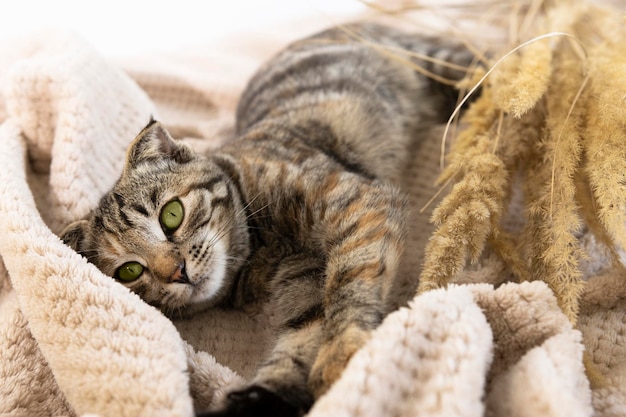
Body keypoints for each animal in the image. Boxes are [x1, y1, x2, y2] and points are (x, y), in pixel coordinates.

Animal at [62, 22, 472, 416]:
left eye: (171, 215)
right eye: (130, 271)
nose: (177, 272)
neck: (261, 251)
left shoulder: (358, 205)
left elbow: (349, 284)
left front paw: (342, 356)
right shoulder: (306, 284)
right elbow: (299, 343)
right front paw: (261, 397)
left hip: (444, 64)